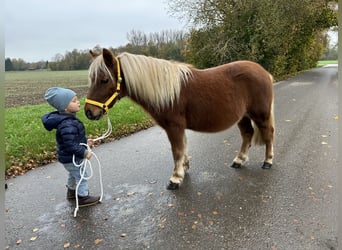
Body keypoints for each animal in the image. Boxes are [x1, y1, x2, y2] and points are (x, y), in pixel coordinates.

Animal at [85, 48, 276, 189]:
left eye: (104, 80)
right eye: (91, 79)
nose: (88, 112)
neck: (167, 92)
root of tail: (264, 72)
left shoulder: (174, 126)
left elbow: (176, 150)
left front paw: (175, 178)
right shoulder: (179, 128)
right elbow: (183, 148)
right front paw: (184, 168)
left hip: (260, 114)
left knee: (268, 134)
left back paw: (268, 161)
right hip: (243, 116)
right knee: (247, 134)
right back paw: (239, 160)